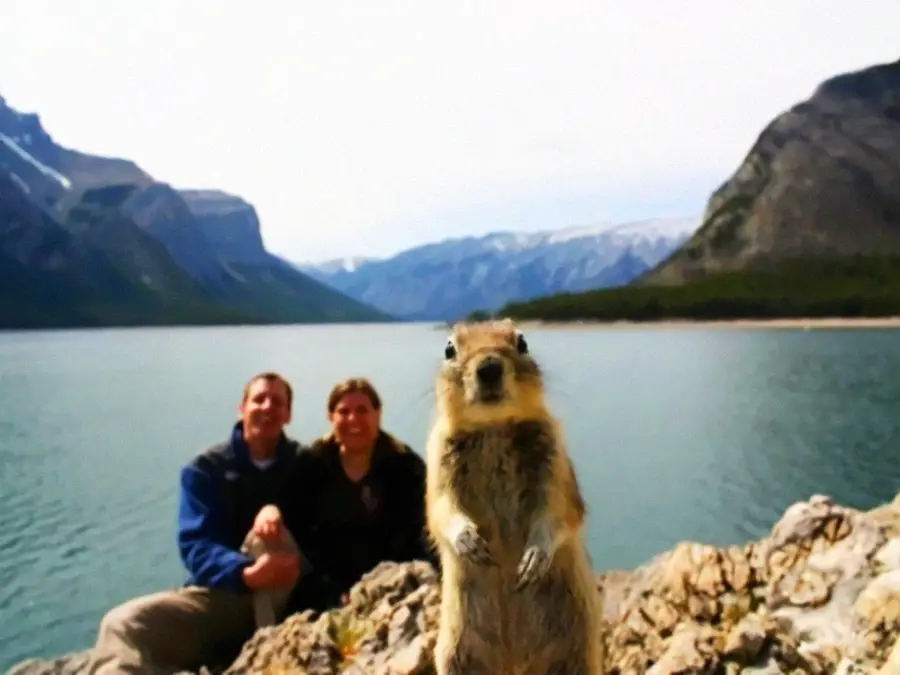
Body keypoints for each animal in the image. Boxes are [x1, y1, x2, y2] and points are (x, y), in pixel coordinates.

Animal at [424, 318, 603, 675]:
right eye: (449, 348)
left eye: (522, 342)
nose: (489, 366)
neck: (492, 428)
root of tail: (514, 665)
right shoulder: (438, 461)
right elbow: (441, 510)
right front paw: (469, 541)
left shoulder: (555, 462)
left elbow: (560, 511)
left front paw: (533, 559)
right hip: (456, 654)